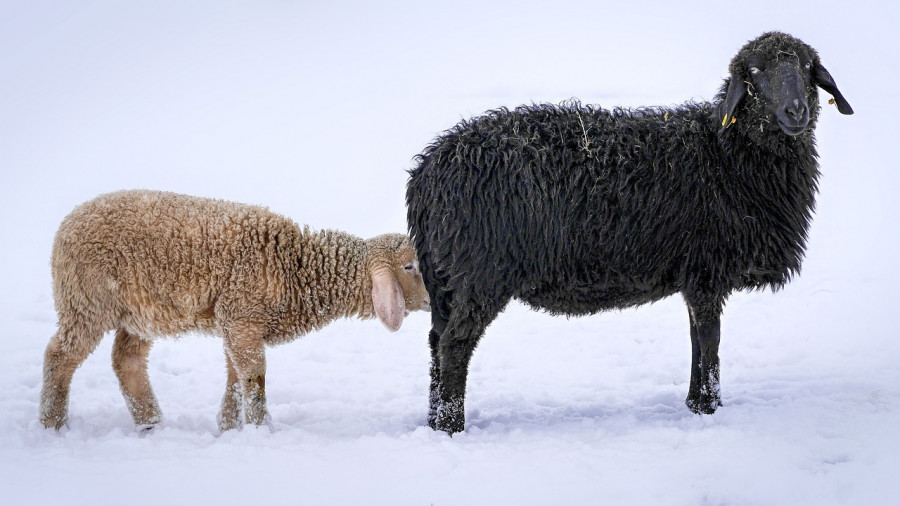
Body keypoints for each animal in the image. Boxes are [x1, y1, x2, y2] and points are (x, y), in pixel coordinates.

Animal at [406, 32, 852, 434]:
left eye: (808, 67)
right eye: (755, 71)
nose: (796, 111)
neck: (727, 155)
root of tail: (427, 172)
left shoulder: (694, 276)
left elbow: (696, 339)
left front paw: (695, 405)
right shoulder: (707, 271)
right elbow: (710, 341)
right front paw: (709, 409)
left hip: (446, 279)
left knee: (435, 339)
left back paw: (434, 422)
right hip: (482, 271)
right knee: (455, 344)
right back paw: (452, 428)